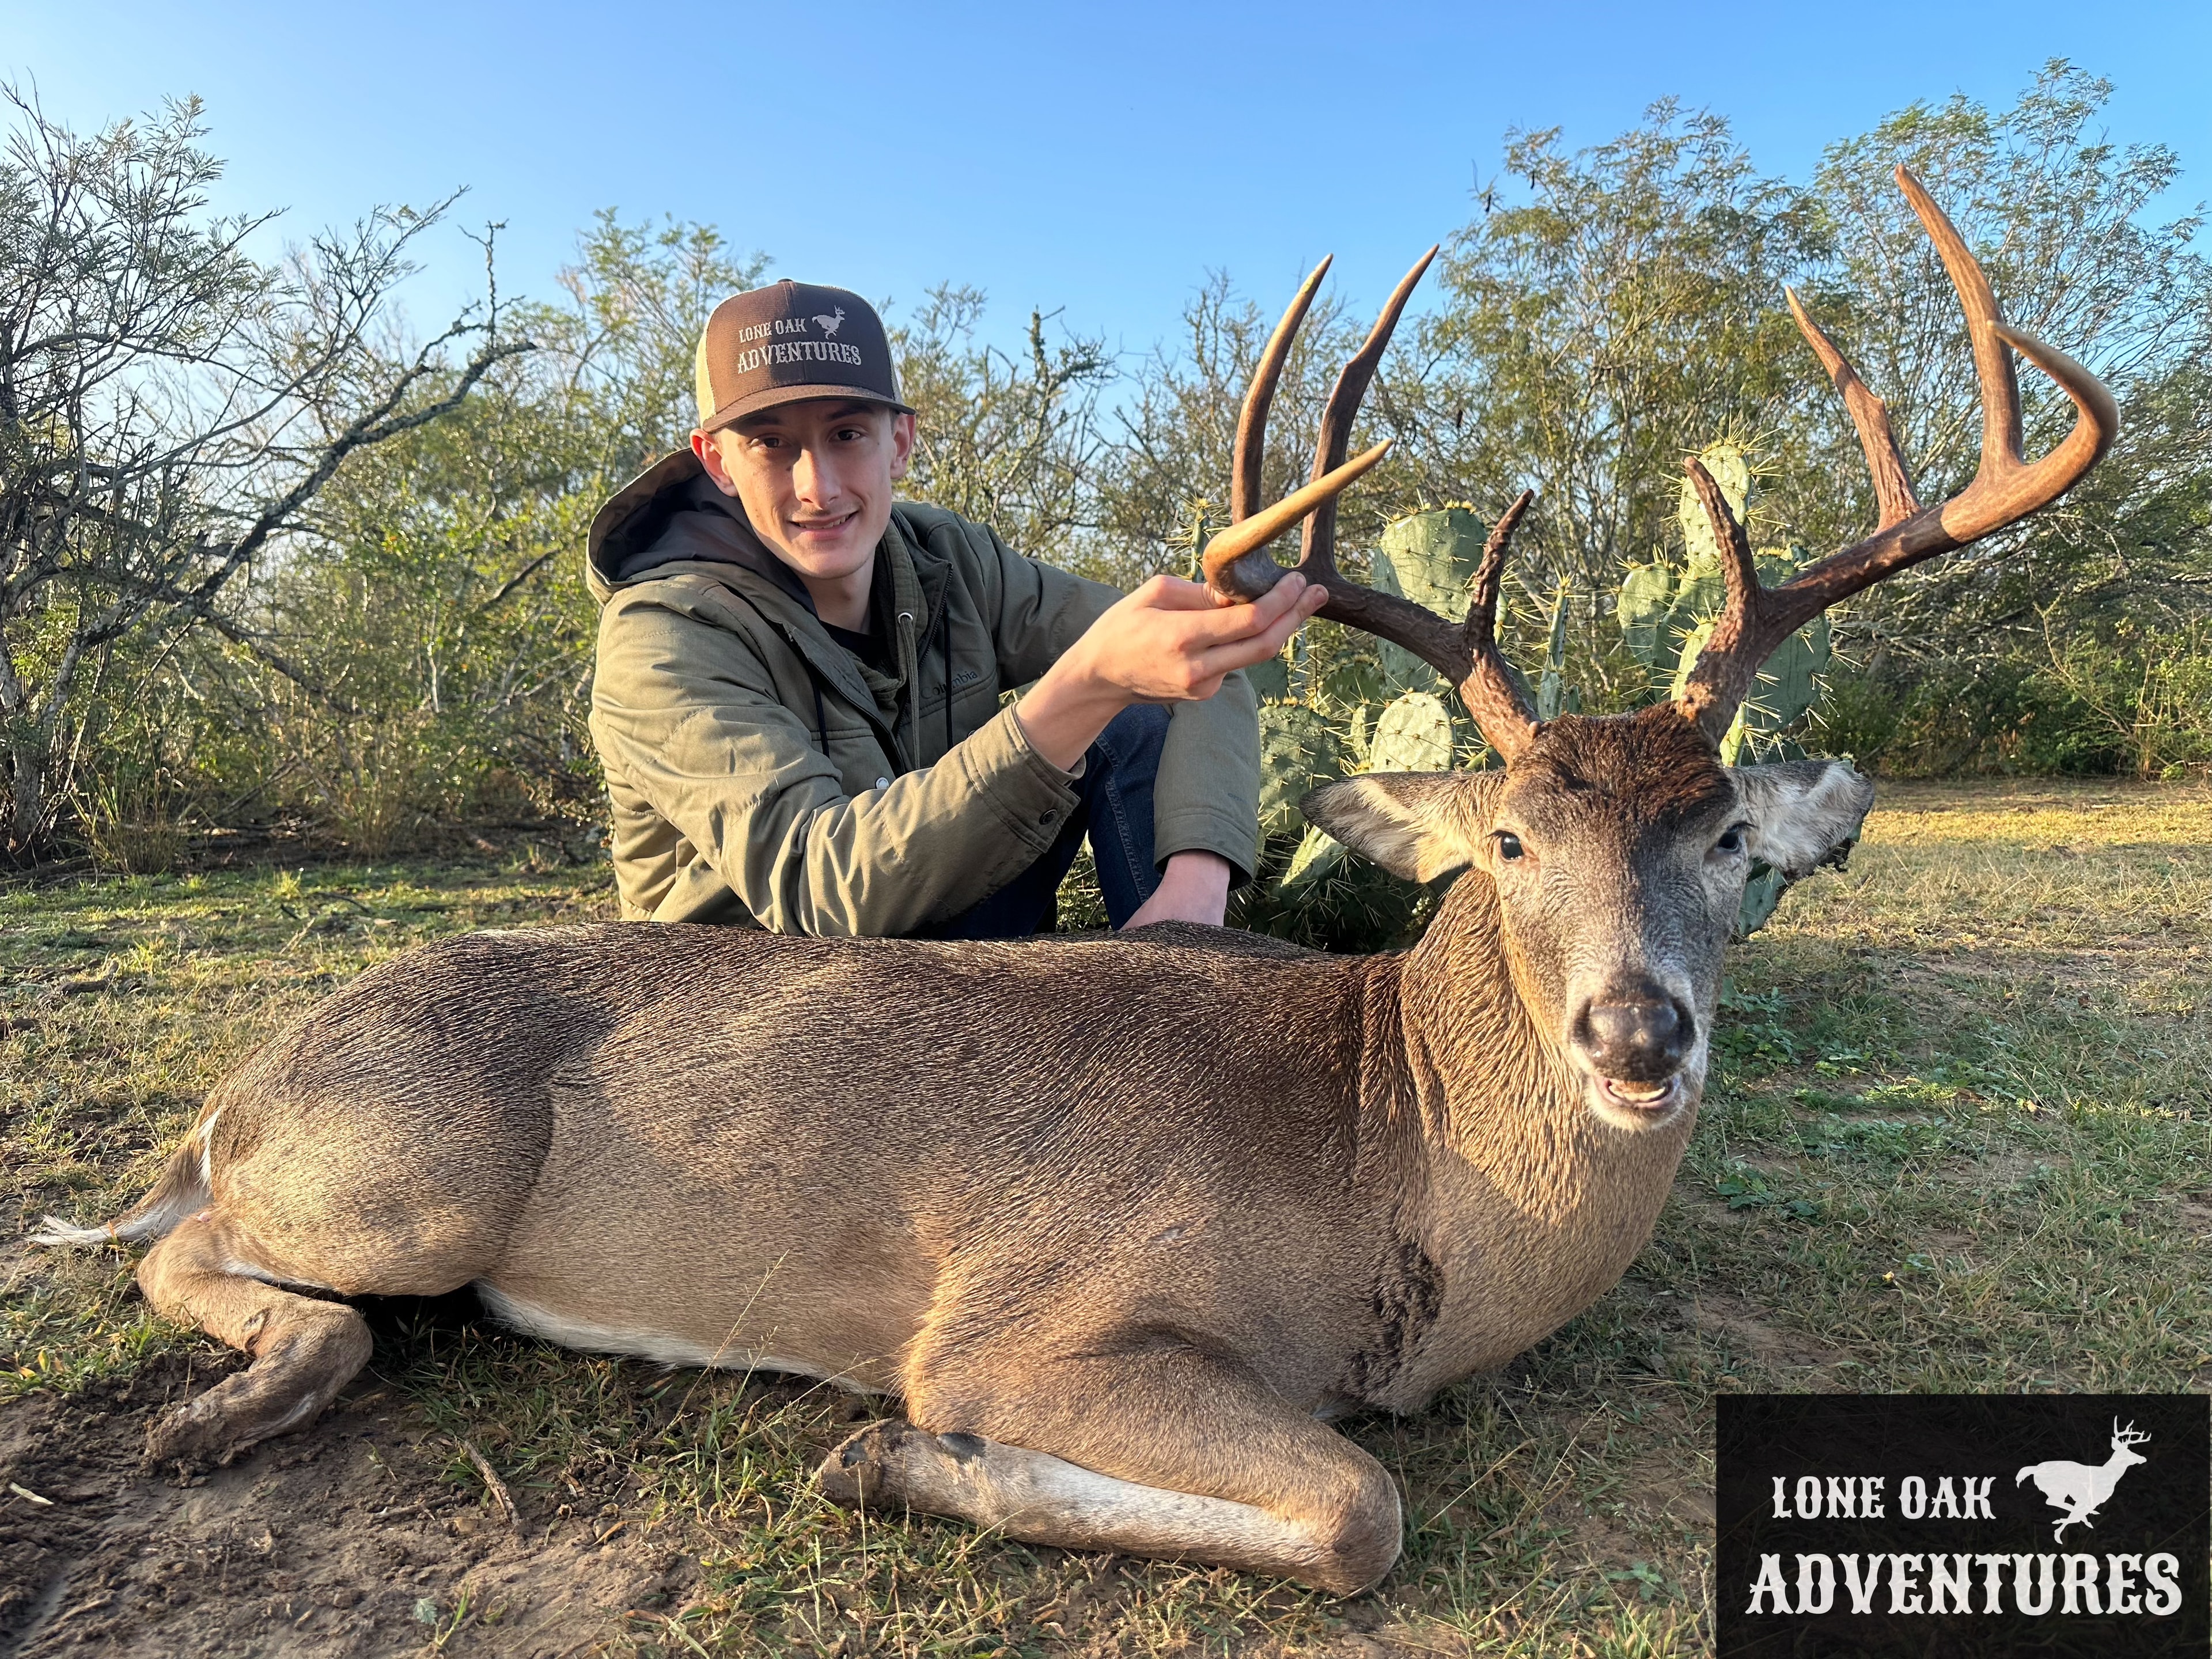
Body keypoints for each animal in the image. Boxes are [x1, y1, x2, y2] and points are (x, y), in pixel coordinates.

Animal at [31, 168, 2113, 1595]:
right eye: (1513, 842)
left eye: (1731, 841)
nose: (1635, 1035)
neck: (1389, 1166)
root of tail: (243, 1082)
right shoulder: (1024, 1317)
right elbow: (1357, 1509)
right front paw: (893, 1461)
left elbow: (1349, 1500)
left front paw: (895, 1469)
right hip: (412, 1181)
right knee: (197, 1251)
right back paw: (249, 1394)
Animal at [2018, 1419, 2151, 1543]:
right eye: (2129, 1453)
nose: (2143, 1459)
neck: (2109, 1475)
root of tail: (2036, 1469)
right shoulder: (2088, 1496)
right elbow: (2074, 1515)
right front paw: (2059, 1535)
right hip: (2058, 1489)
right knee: (2052, 1502)